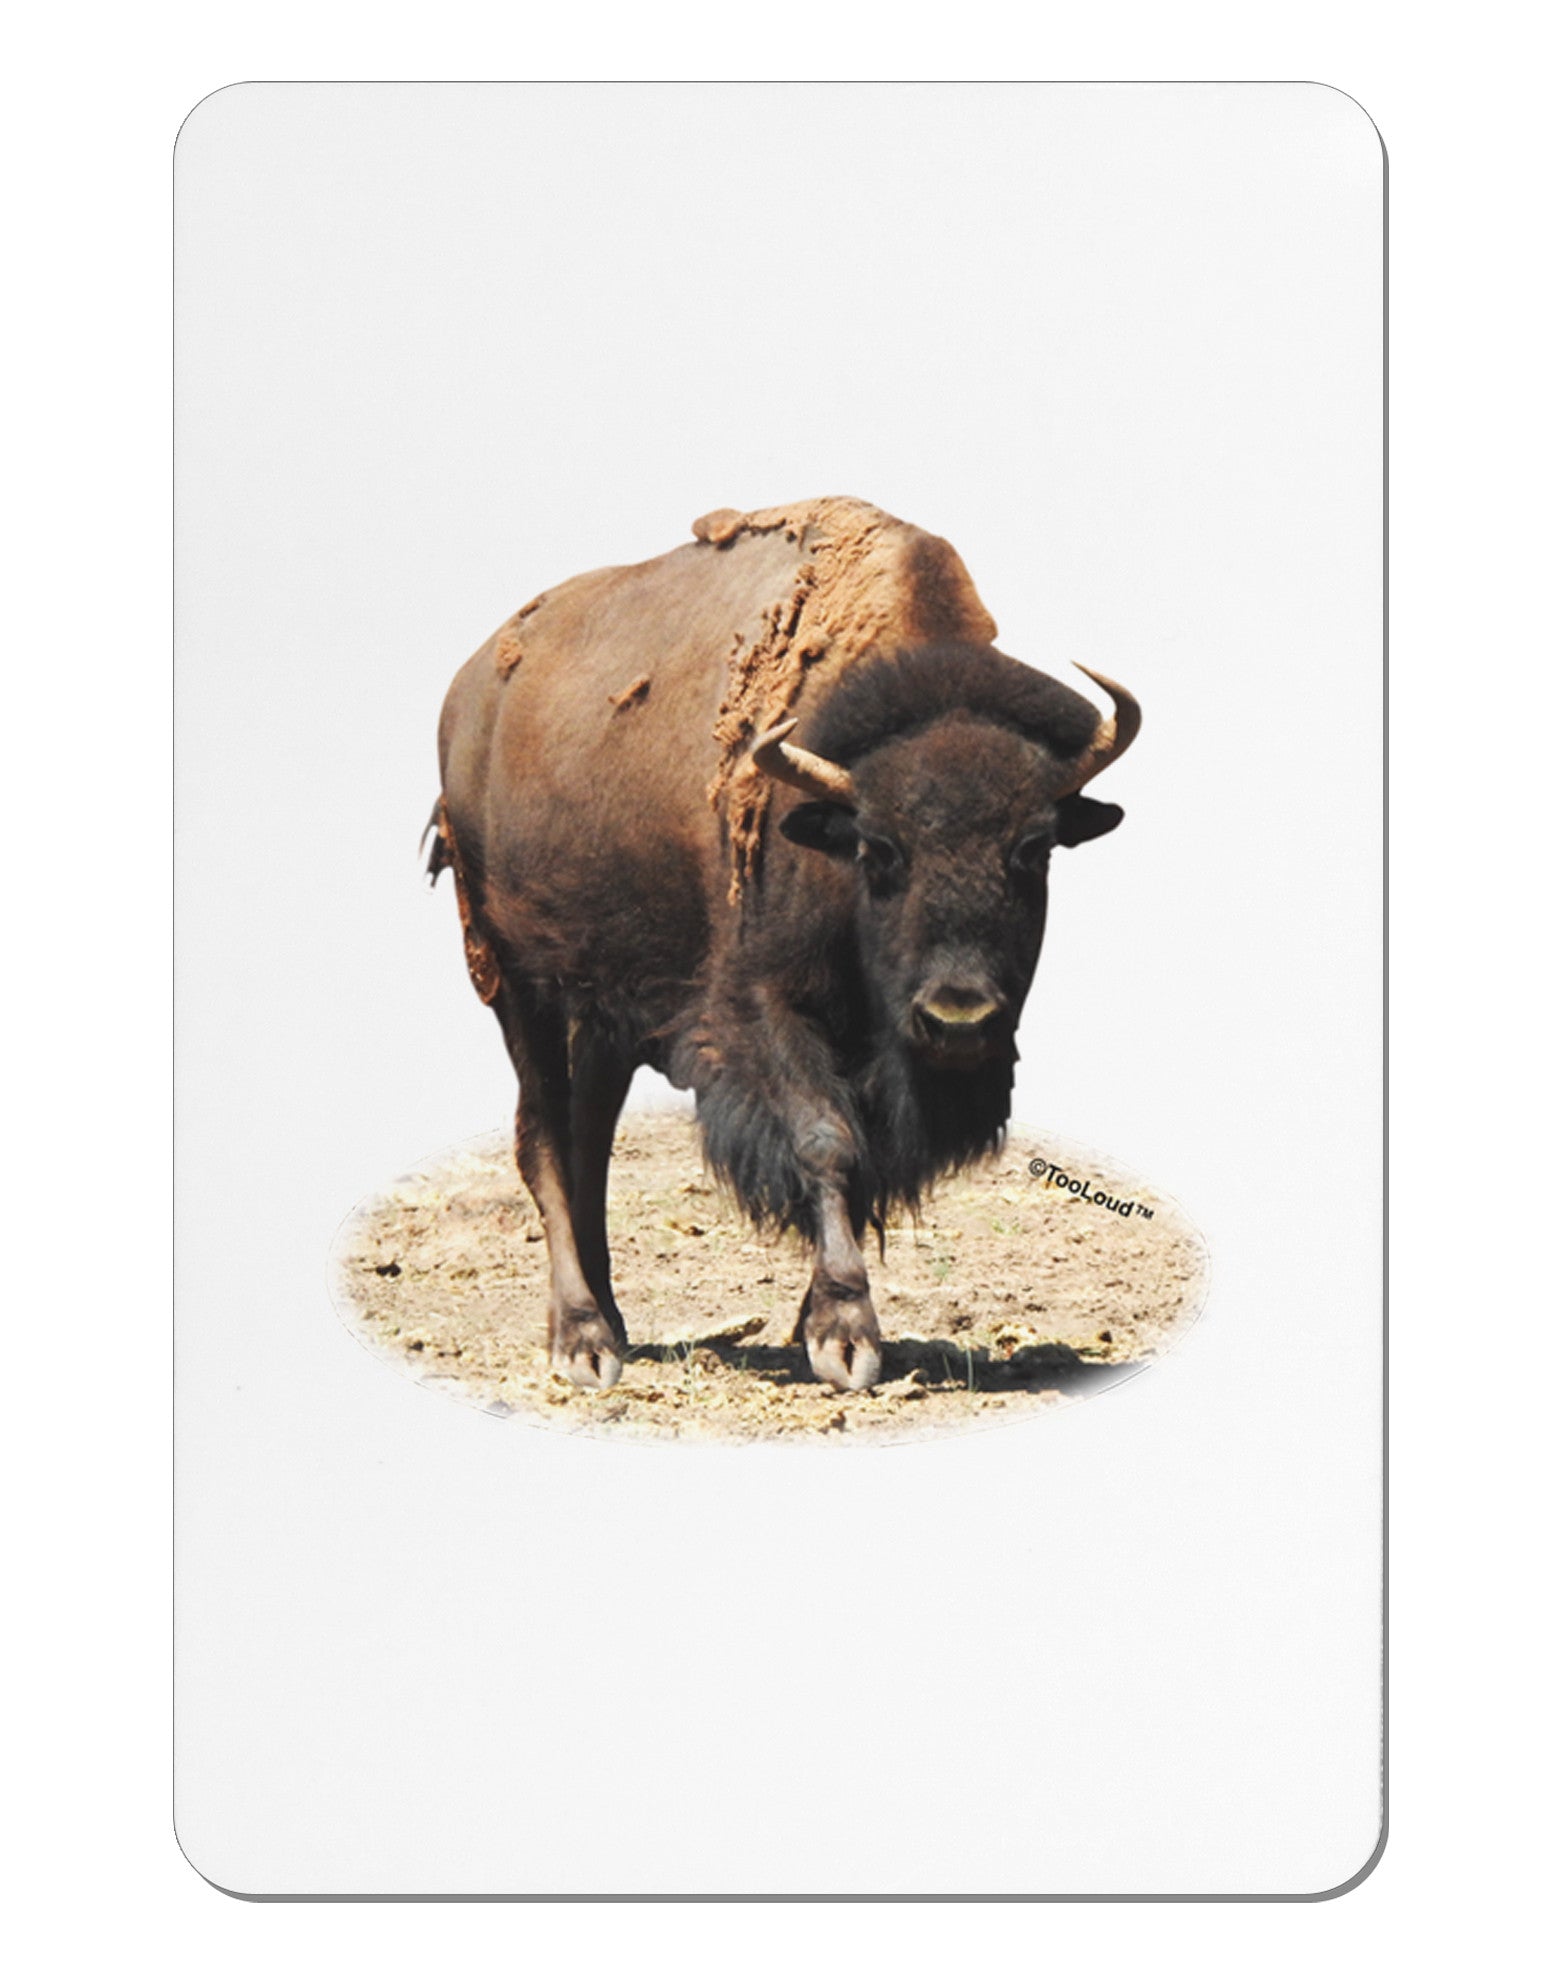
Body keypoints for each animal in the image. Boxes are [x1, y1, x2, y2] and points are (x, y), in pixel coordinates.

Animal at [430, 498, 1139, 1392]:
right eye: (878, 849)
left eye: (1034, 848)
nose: (959, 1019)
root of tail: (468, 696)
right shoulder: (765, 1006)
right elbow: (824, 1142)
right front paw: (844, 1335)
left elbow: (865, 1161)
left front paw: (819, 1322)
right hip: (514, 978)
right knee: (545, 1140)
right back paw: (583, 1341)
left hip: (606, 1011)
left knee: (590, 1139)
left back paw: (615, 1323)